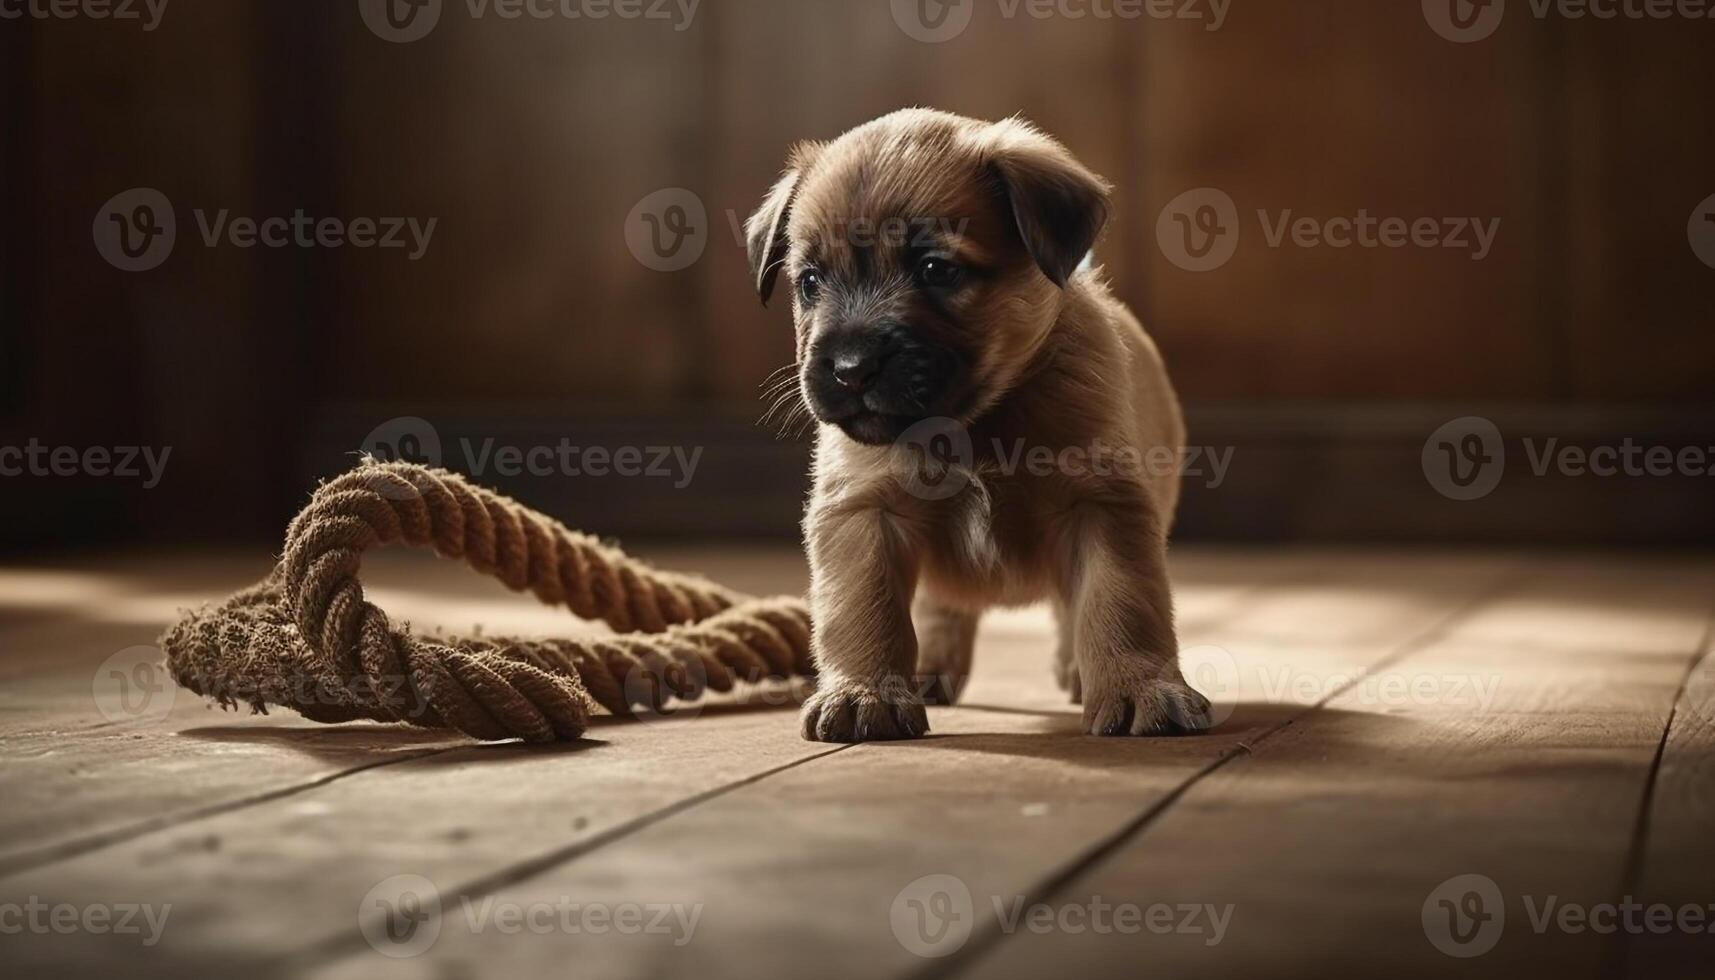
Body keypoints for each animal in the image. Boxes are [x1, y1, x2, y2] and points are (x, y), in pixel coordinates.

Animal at [744, 107, 1214, 744]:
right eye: (810, 282)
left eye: (935, 269)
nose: (851, 369)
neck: (970, 429)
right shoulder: (865, 513)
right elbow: (864, 611)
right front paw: (865, 693)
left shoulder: (1102, 506)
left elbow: (1120, 603)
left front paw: (1140, 688)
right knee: (943, 610)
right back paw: (929, 670)